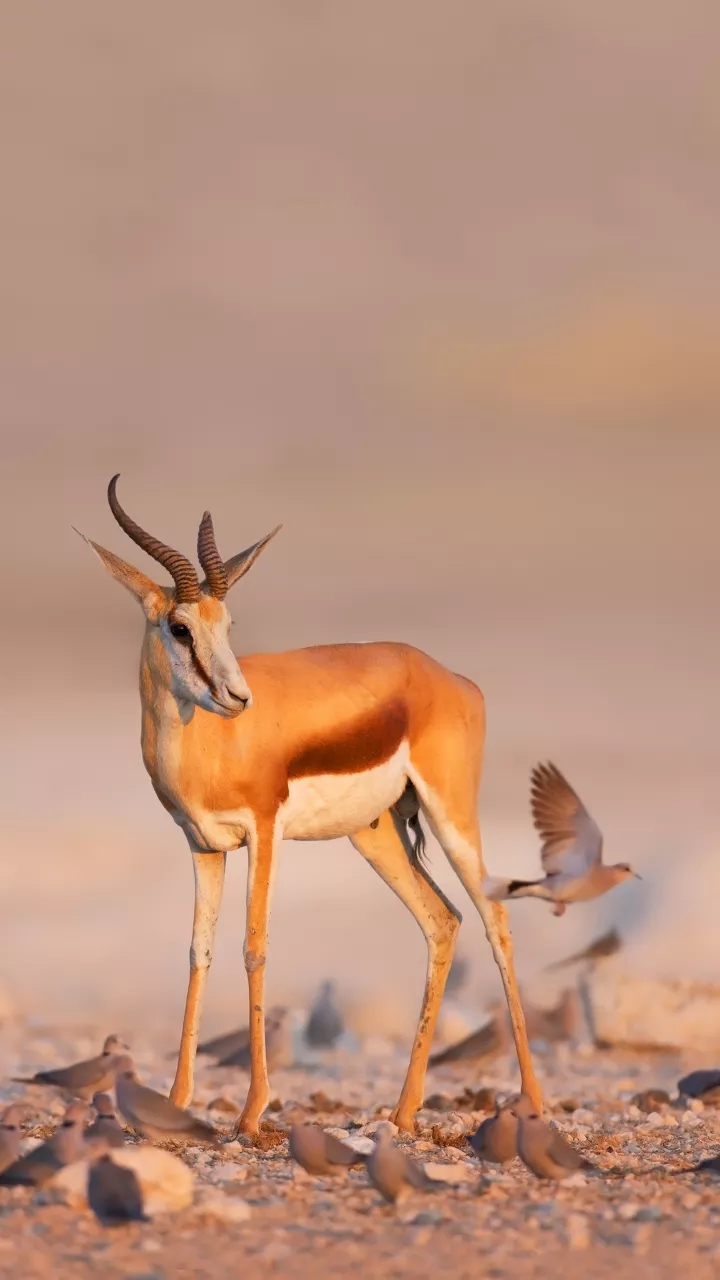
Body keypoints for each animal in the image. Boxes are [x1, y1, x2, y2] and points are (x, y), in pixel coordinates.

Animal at [77, 476, 542, 1136]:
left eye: (229, 621)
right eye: (180, 627)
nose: (237, 696)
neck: (209, 743)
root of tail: (450, 677)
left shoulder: (264, 832)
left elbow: (254, 948)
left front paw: (251, 1112)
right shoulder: (202, 845)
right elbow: (199, 951)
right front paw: (177, 1100)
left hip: (452, 816)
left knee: (494, 918)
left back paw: (532, 1100)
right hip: (376, 834)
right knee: (443, 921)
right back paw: (403, 1111)